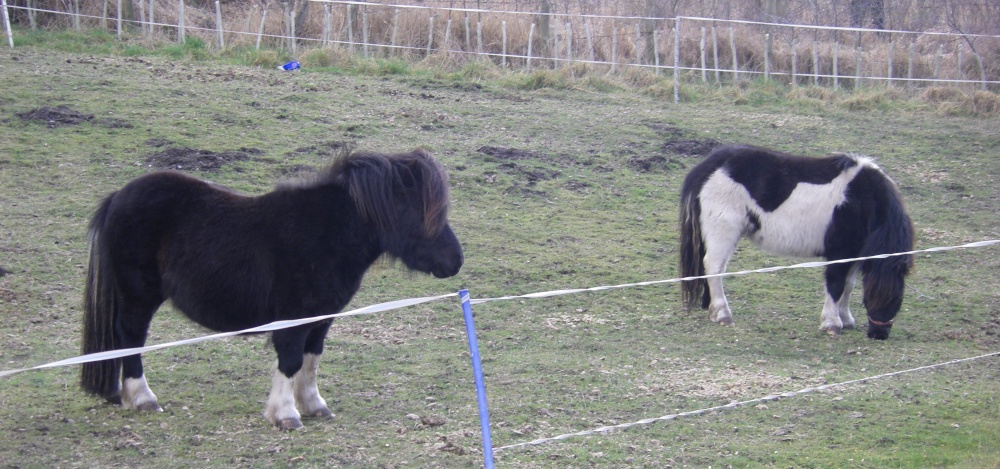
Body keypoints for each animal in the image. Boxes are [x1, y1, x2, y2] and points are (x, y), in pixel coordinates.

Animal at [81, 148, 463, 429]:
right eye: (420, 210)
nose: (456, 261)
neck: (326, 234)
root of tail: (117, 197)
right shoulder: (293, 319)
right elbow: (291, 359)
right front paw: (286, 414)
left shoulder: (321, 318)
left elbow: (311, 359)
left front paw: (314, 405)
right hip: (138, 296)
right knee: (131, 339)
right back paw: (143, 399)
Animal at [679, 144, 913, 340]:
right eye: (876, 297)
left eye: (898, 299)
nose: (879, 334)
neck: (863, 199)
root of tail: (712, 165)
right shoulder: (839, 253)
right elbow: (836, 285)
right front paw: (832, 323)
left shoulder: (856, 254)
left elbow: (848, 285)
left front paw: (846, 319)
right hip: (723, 232)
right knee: (714, 266)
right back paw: (722, 314)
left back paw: (709, 307)